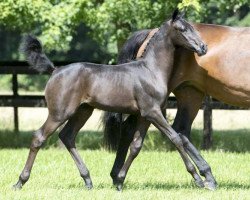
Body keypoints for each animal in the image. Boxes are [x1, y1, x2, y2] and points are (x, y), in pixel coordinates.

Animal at [13, 10, 215, 191]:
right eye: (182, 29)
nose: (203, 47)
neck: (150, 70)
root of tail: (55, 70)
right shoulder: (153, 112)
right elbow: (176, 138)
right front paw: (198, 179)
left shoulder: (144, 115)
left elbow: (136, 146)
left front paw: (119, 181)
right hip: (59, 113)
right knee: (39, 137)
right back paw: (20, 182)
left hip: (83, 111)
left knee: (67, 136)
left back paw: (88, 180)